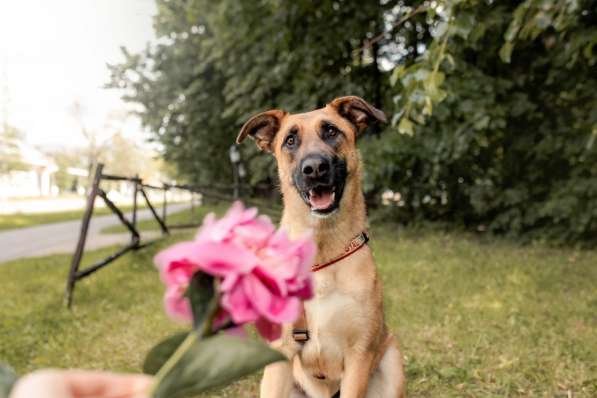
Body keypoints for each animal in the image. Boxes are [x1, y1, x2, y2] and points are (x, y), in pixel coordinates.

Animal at [236, 96, 406, 398]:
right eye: (290, 140)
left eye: (331, 131)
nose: (314, 168)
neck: (322, 250)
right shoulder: (280, 356)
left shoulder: (359, 355)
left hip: (392, 361)